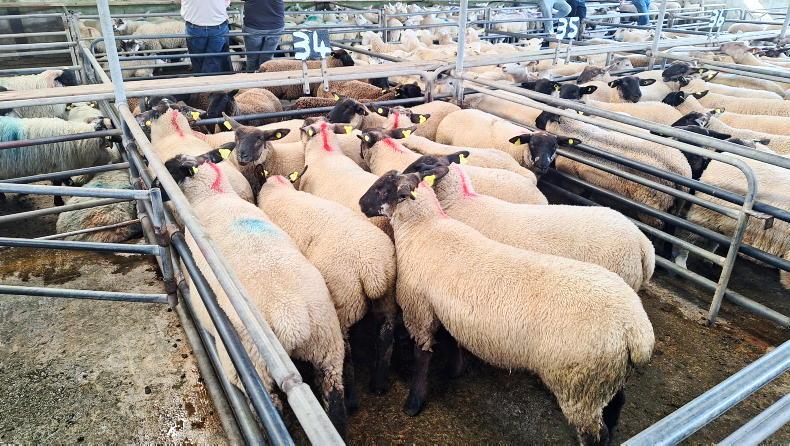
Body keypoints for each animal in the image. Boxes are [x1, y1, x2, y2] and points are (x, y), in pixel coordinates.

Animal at [164, 150, 348, 434]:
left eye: (171, 169)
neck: (214, 195)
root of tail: (290, 316)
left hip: (252, 365)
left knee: (274, 411)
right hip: (327, 345)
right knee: (335, 397)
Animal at [257, 171, 398, 403]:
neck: (279, 190)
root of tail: (372, 269)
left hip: (345, 302)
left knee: (345, 351)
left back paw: (351, 398)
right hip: (387, 298)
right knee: (386, 337)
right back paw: (378, 385)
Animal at [358, 168, 654, 444]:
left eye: (383, 189)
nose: (361, 203)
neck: (424, 228)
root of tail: (635, 329)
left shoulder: (418, 308)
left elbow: (422, 358)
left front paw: (413, 403)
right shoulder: (446, 309)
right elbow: (453, 340)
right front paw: (455, 370)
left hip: (580, 386)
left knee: (593, 435)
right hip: (606, 378)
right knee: (617, 403)